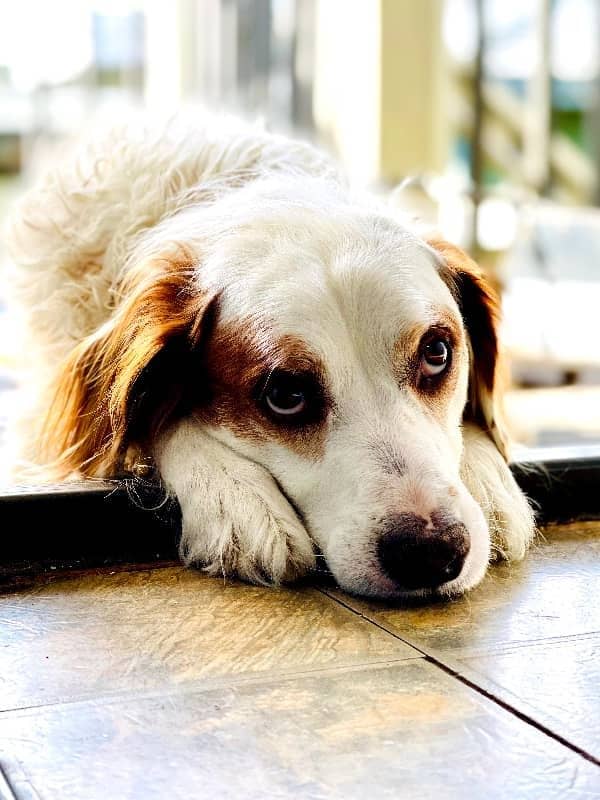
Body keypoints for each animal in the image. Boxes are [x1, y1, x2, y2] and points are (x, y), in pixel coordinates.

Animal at [5, 114, 536, 600]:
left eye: (437, 352)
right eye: (284, 393)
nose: (432, 550)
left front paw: (490, 481)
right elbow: (156, 423)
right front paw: (235, 498)